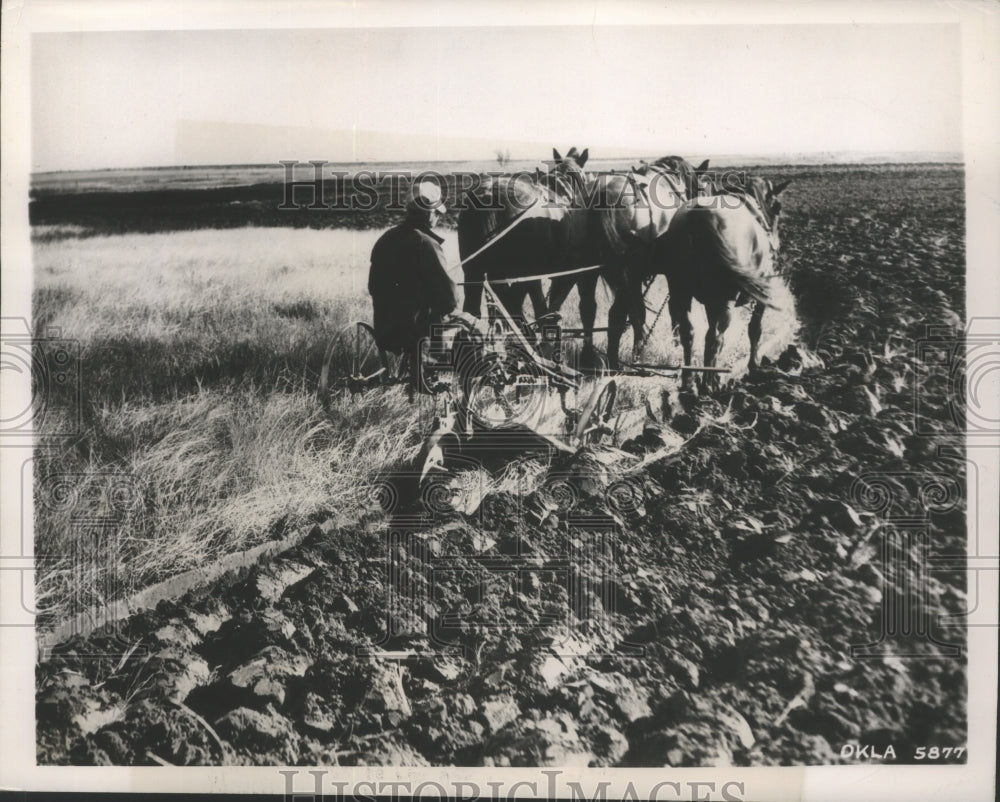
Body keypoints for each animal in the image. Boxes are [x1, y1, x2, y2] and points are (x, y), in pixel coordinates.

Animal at [652, 174, 792, 388]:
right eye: (777, 207)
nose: (775, 243)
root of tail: (697, 216)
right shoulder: (761, 294)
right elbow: (755, 329)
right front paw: (753, 365)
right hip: (722, 299)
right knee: (715, 338)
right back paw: (708, 383)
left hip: (681, 292)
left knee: (689, 333)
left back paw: (689, 379)